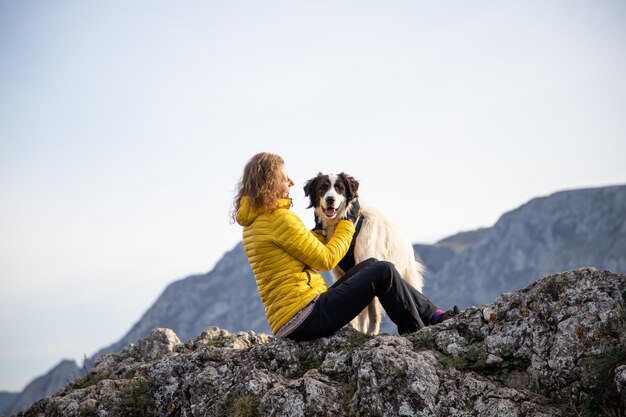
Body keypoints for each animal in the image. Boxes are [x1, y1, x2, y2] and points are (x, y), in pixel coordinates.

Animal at [302, 172, 424, 334]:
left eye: (340, 188)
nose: (330, 199)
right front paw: (353, 328)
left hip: (408, 273)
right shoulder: (341, 273)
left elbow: (372, 308)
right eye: (323, 187)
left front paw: (371, 332)